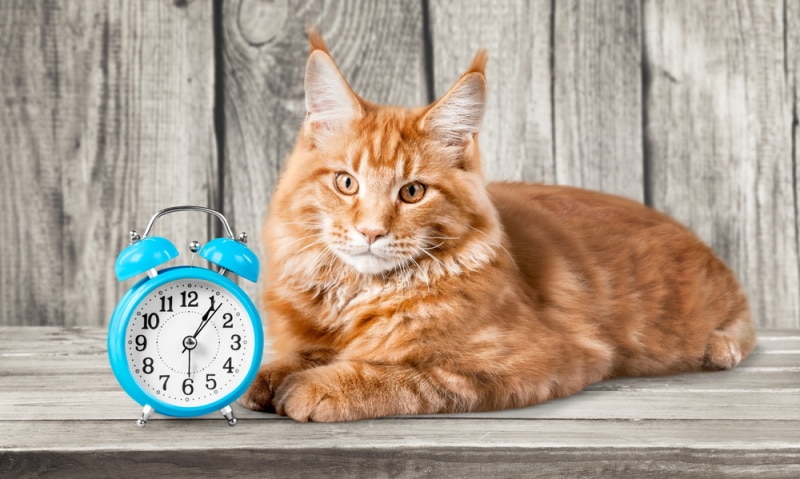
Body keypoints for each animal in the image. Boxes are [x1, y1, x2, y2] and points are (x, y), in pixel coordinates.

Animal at [239, 30, 756, 422]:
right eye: (347, 183)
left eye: (412, 192)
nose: (370, 232)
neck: (356, 295)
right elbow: (297, 353)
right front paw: (269, 375)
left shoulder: (535, 359)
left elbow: (405, 374)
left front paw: (317, 386)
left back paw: (719, 346)